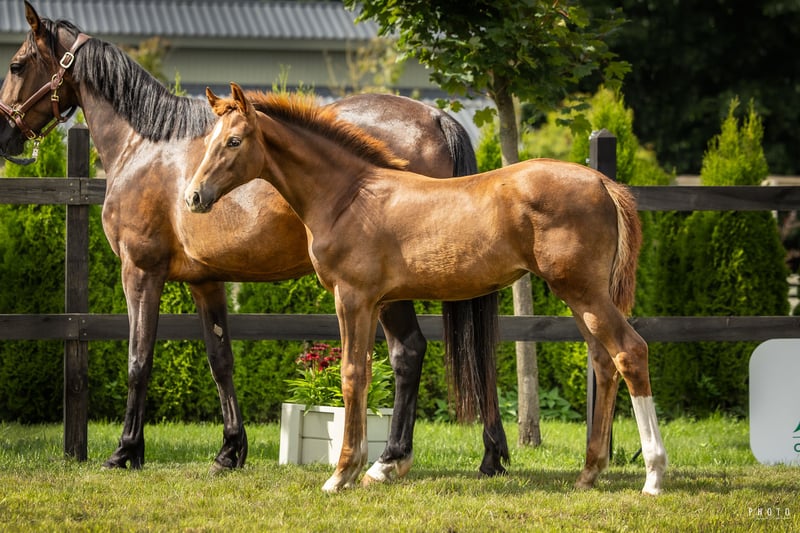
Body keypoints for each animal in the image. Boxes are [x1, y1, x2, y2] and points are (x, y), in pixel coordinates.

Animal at [0, 2, 509, 482]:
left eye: (17, 64)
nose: (5, 135)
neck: (144, 145)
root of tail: (438, 117)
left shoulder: (140, 271)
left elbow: (138, 359)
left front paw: (125, 451)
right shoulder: (205, 281)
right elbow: (220, 359)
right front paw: (229, 450)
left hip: (388, 288)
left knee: (408, 353)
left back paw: (391, 458)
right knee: (473, 358)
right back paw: (490, 457)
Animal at [185, 84, 668, 494]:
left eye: (234, 141)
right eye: (210, 140)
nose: (193, 196)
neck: (348, 196)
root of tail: (602, 182)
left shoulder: (353, 297)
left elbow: (352, 375)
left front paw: (343, 473)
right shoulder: (377, 300)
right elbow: (368, 372)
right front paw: (367, 467)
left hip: (583, 291)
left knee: (630, 351)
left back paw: (653, 476)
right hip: (580, 297)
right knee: (605, 361)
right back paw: (589, 473)